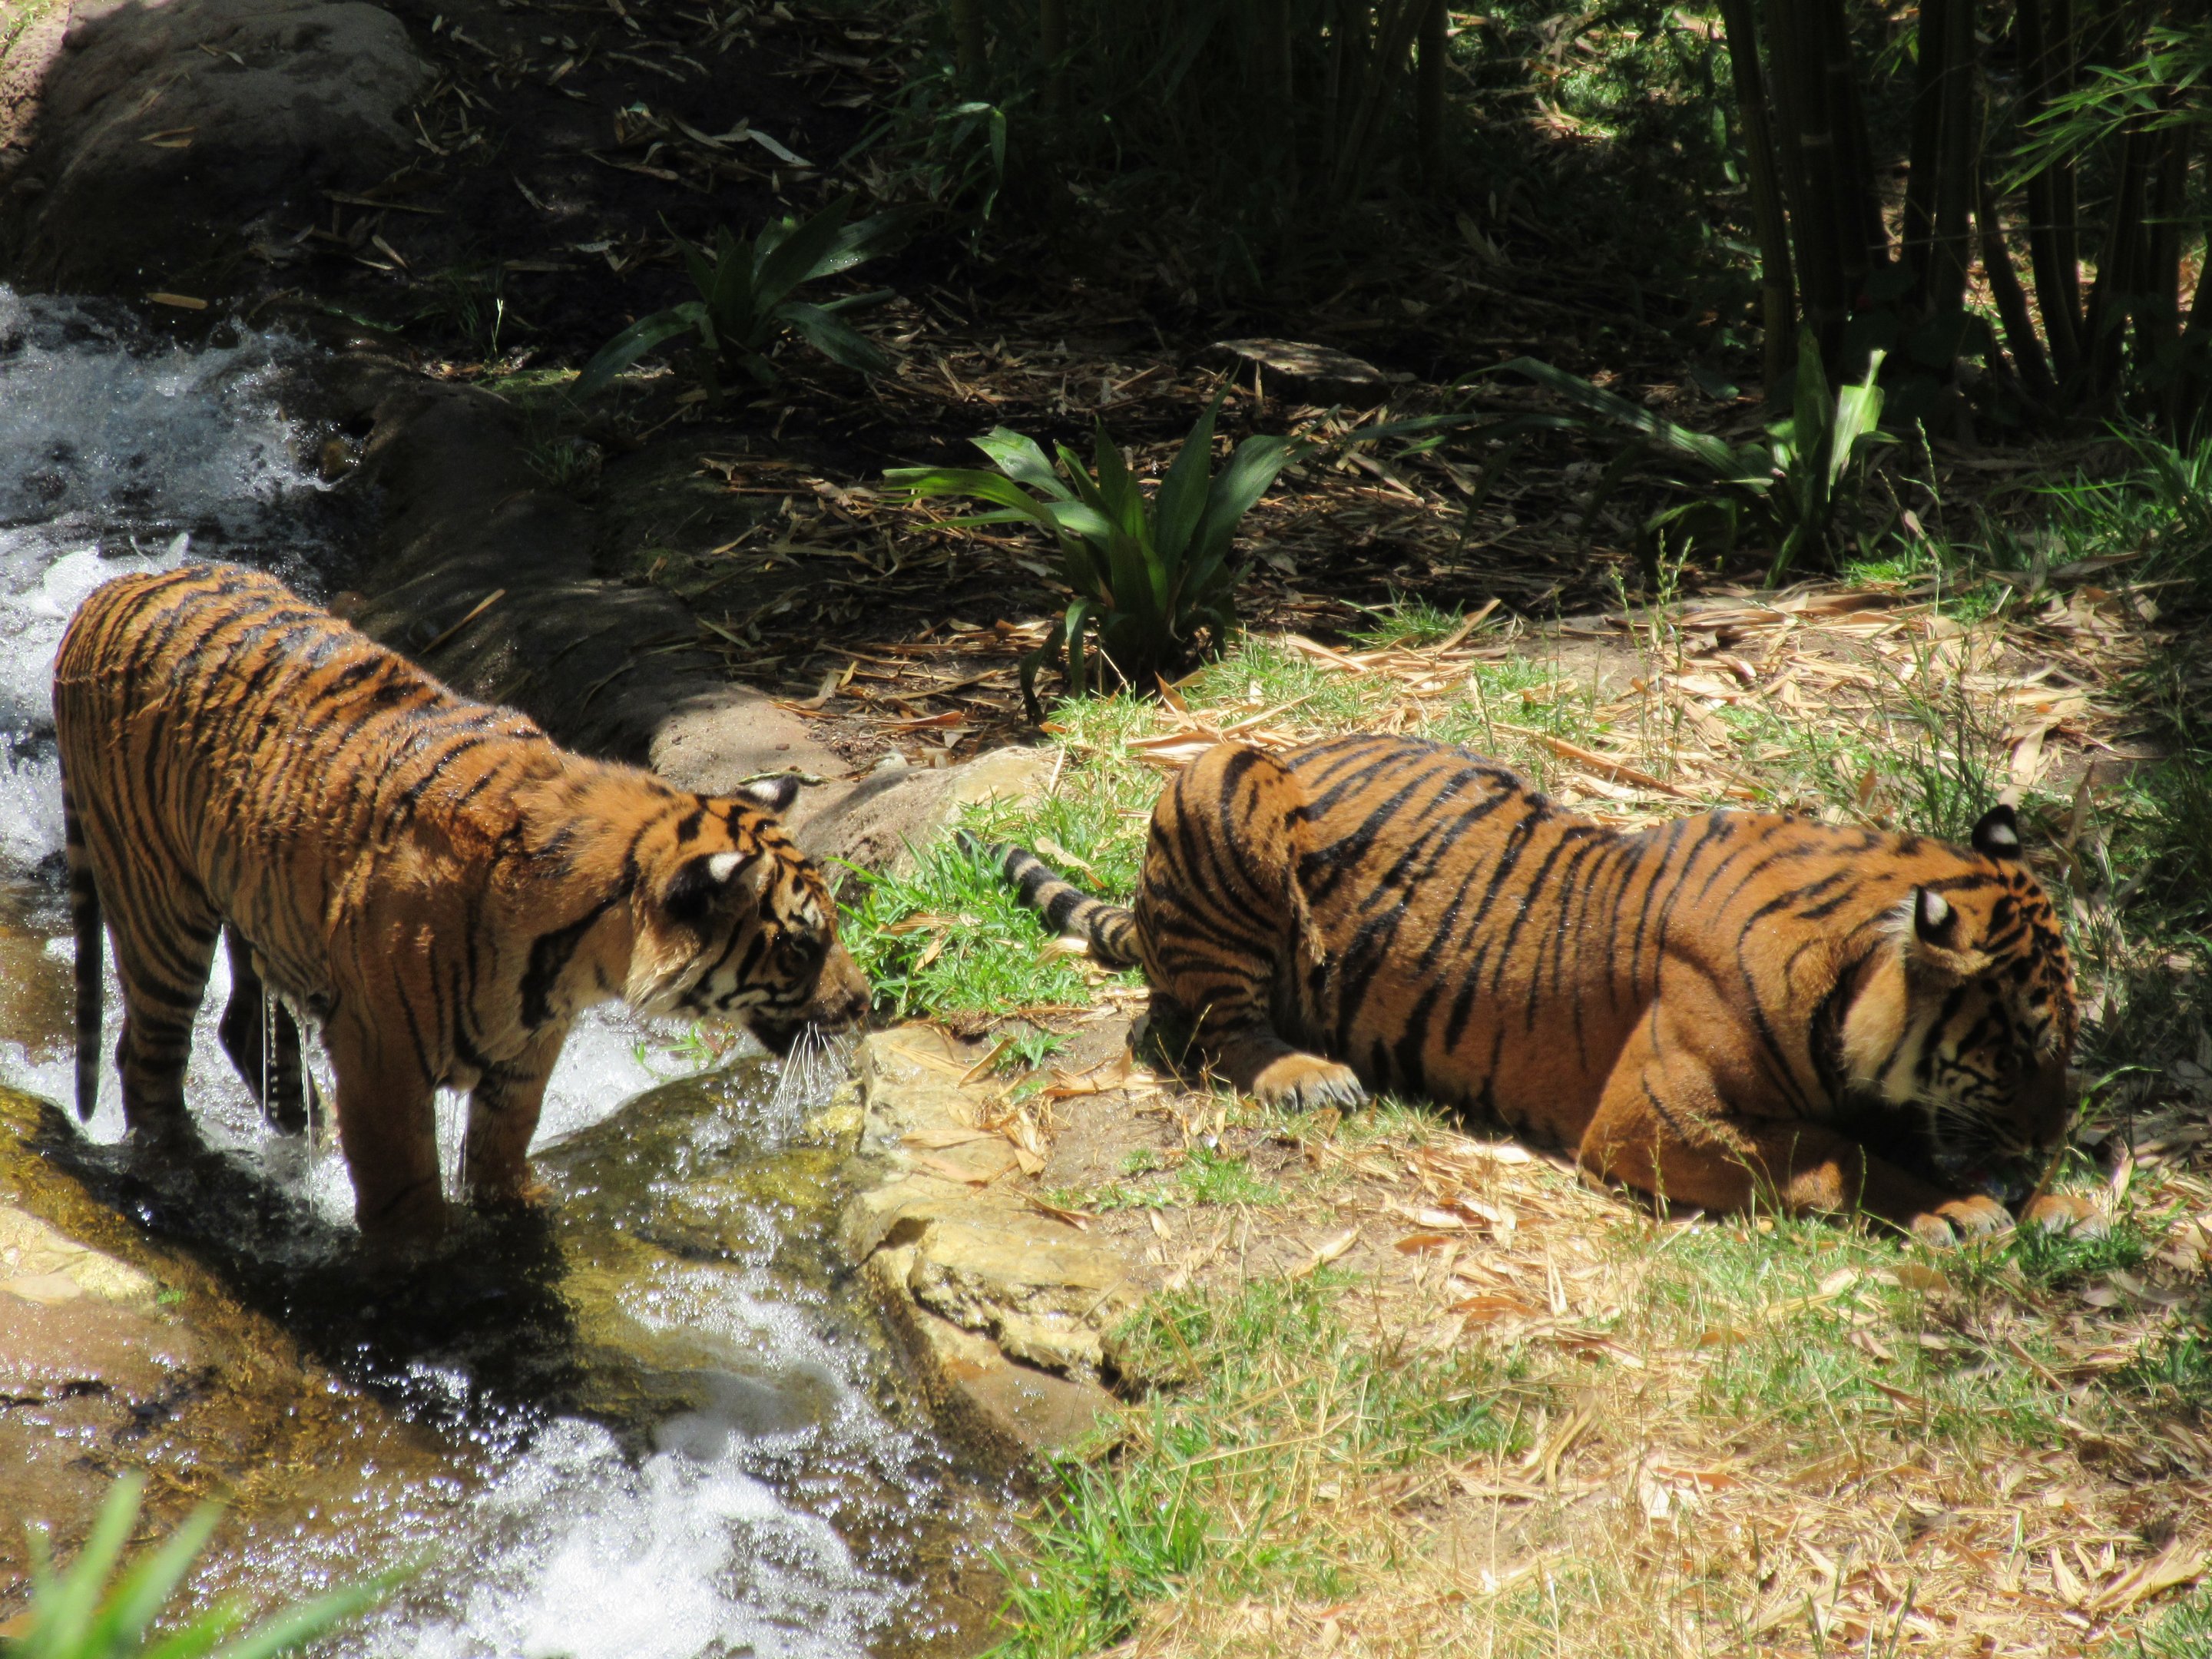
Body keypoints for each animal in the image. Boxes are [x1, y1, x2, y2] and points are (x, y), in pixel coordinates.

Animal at [52, 563, 869, 1241]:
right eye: (801, 946)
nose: (865, 1005)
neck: (577, 960)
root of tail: (116, 587)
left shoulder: (526, 1061)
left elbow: (500, 1163)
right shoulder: (379, 1059)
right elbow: (406, 1197)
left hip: (256, 911)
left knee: (239, 1028)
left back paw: (299, 1137)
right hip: (160, 905)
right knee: (145, 1057)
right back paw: (181, 1168)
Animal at [970, 732, 2096, 1245]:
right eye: (2025, 1047)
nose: (2057, 1133)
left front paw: (2053, 1198)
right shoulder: (1650, 1121)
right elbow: (1839, 1156)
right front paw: (1963, 1208)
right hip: (1220, 778)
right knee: (1210, 1028)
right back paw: (1307, 1074)